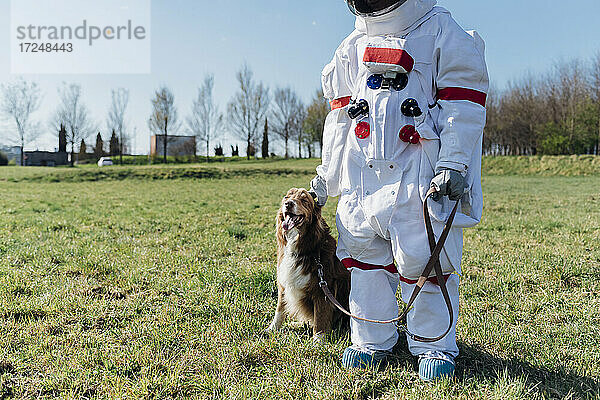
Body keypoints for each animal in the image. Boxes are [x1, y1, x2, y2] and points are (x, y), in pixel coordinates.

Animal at [268, 189, 352, 340]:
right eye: (286, 197)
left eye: (304, 200)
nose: (288, 204)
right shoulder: (283, 284)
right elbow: (279, 310)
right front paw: (271, 329)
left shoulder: (323, 290)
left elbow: (320, 319)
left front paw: (318, 341)